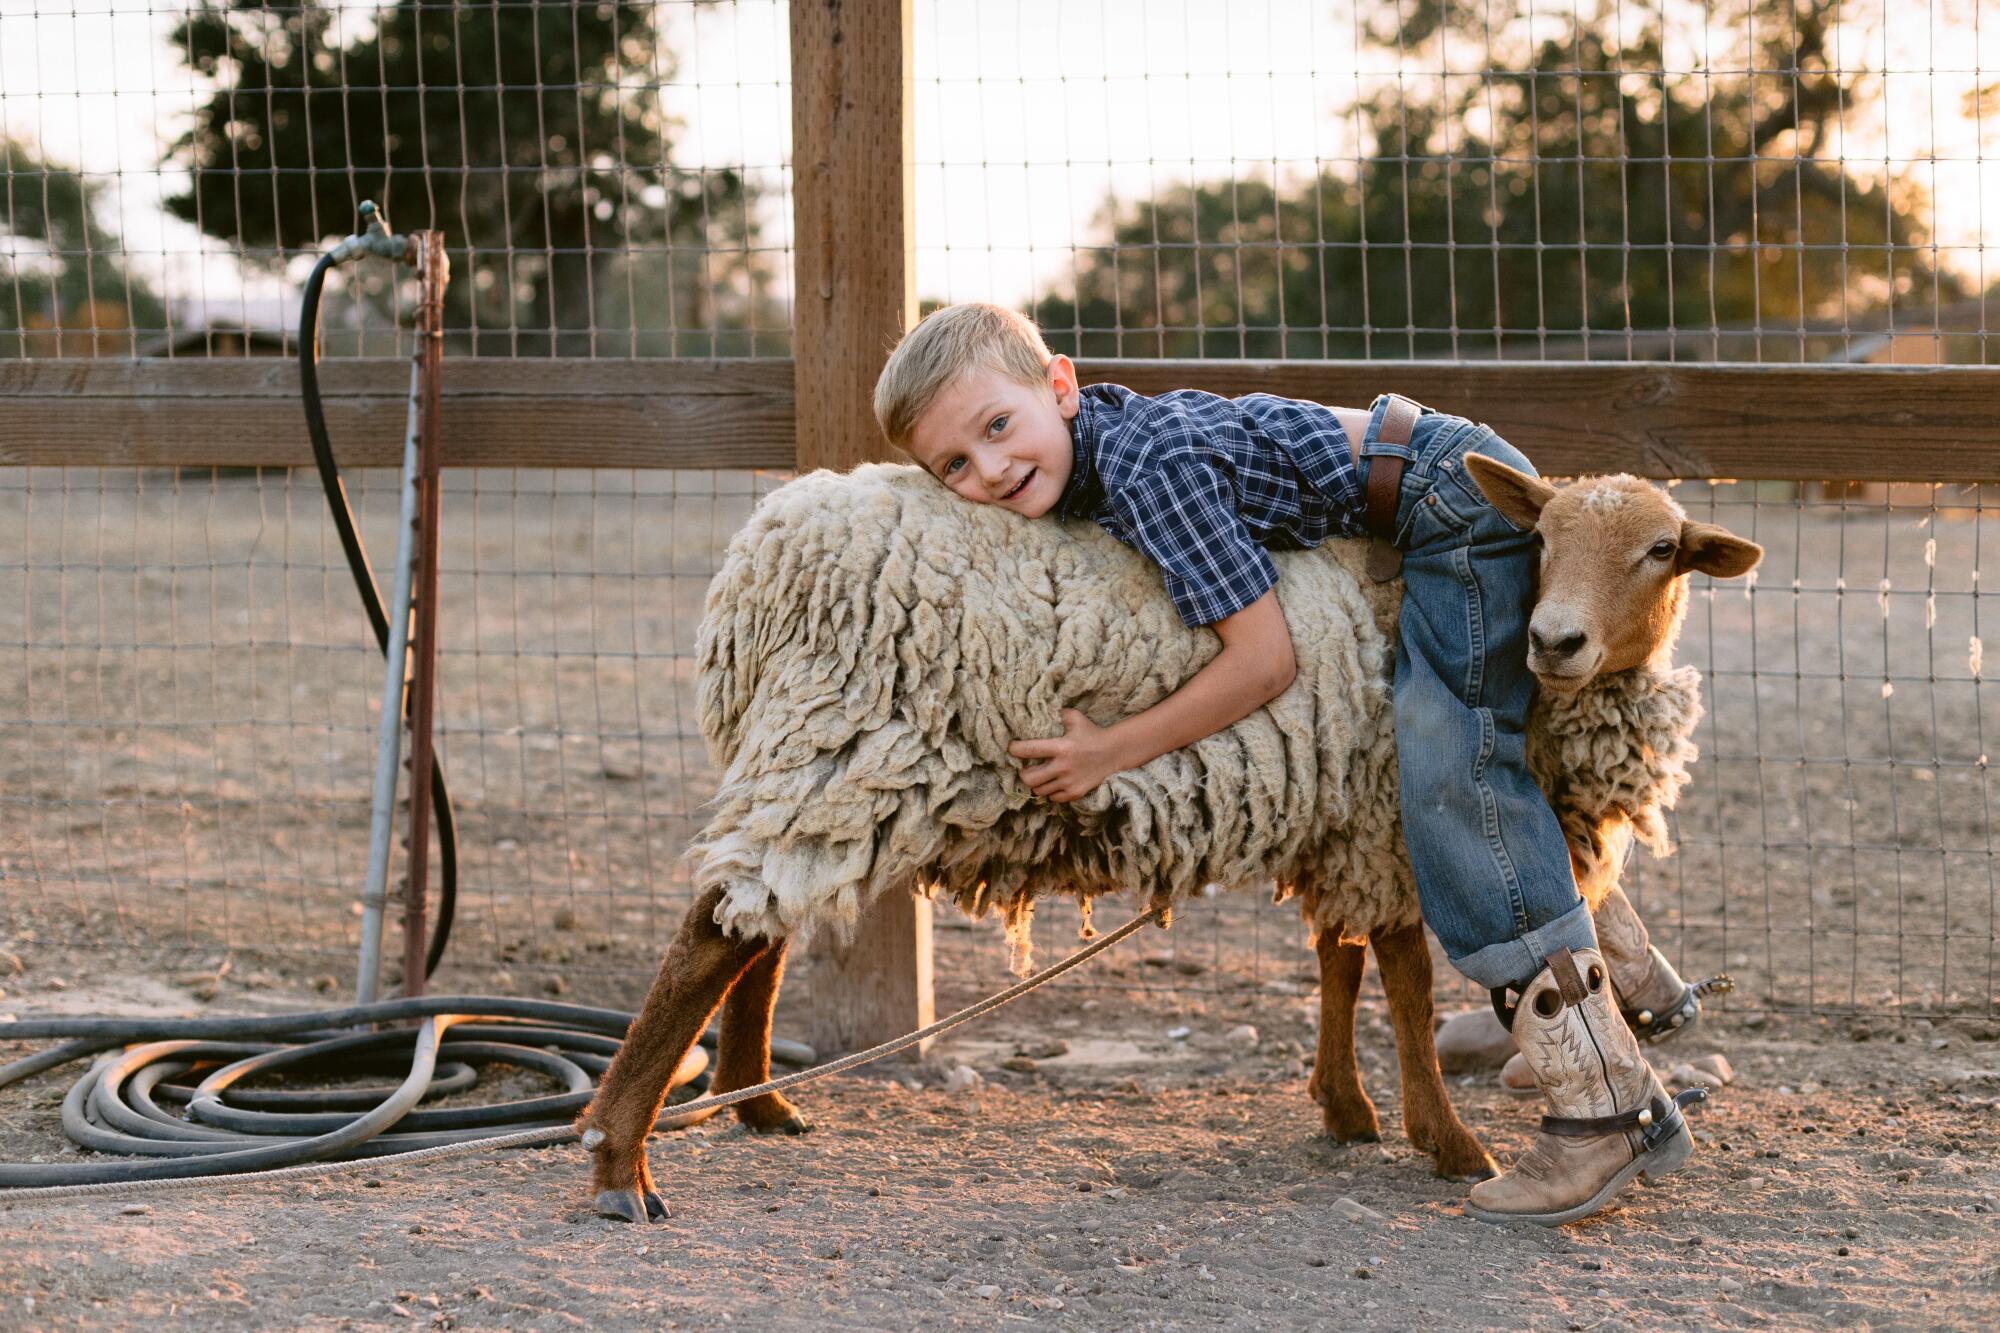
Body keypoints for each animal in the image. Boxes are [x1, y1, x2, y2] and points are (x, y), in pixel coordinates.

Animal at [576, 452, 1752, 1216]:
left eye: (1662, 550)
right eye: (1540, 540)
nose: (1558, 641)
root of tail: (760, 563)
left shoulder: (1339, 818)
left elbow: (1336, 961)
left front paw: (1343, 1107)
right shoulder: (1384, 817)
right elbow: (1409, 984)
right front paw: (1447, 1142)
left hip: (826, 756)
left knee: (758, 929)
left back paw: (756, 1104)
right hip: (843, 740)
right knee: (711, 933)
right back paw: (620, 1159)